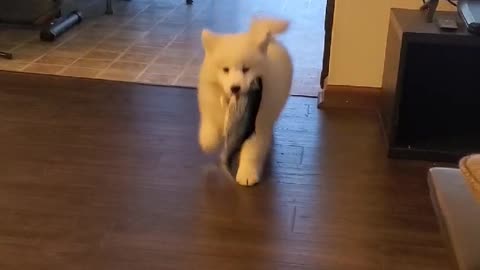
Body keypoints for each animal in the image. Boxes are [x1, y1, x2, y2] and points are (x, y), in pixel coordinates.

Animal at [197, 17, 294, 186]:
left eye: (246, 69)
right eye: (225, 69)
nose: (235, 87)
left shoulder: (257, 125)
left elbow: (252, 151)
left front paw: (247, 175)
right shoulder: (210, 101)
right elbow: (209, 121)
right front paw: (208, 141)